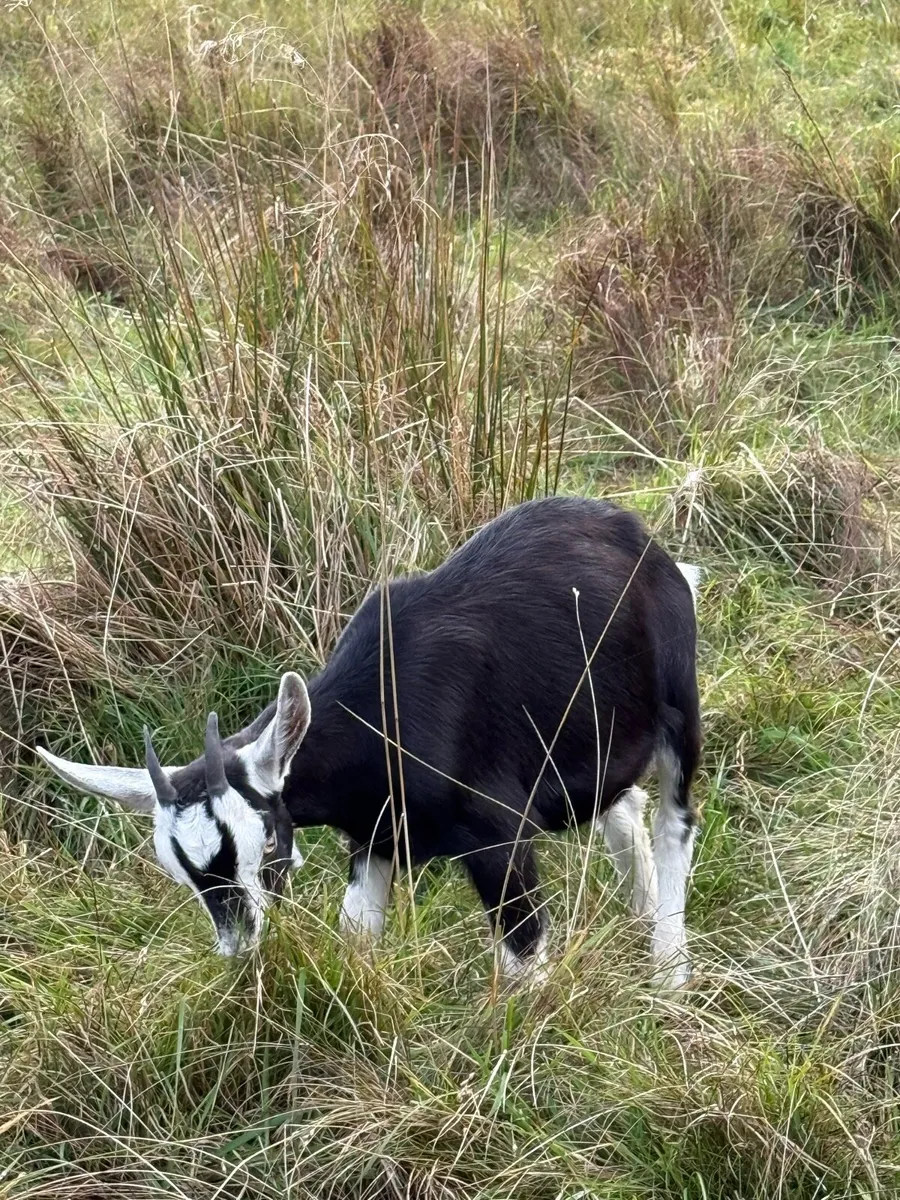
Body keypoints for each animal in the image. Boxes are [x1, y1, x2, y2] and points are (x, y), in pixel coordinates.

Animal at [37, 497, 701, 986]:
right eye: (182, 875)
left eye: (267, 848)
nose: (244, 949)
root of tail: (634, 532)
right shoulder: (375, 839)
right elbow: (358, 938)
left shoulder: (501, 838)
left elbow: (521, 960)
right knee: (625, 805)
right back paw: (641, 914)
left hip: (679, 707)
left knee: (674, 819)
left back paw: (669, 971)